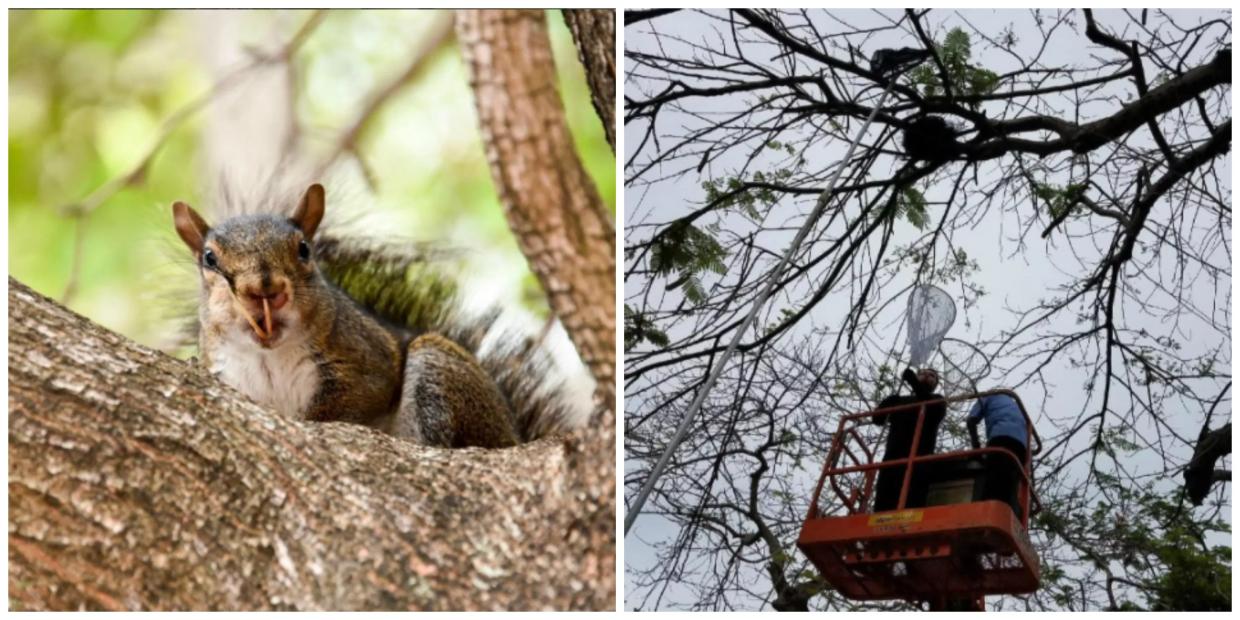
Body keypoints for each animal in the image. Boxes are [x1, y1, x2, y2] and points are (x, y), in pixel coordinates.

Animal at [171, 182, 580, 448]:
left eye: (303, 248)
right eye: (209, 258)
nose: (264, 289)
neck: (267, 355)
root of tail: (514, 434)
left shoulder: (364, 355)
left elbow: (365, 393)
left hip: (440, 369)